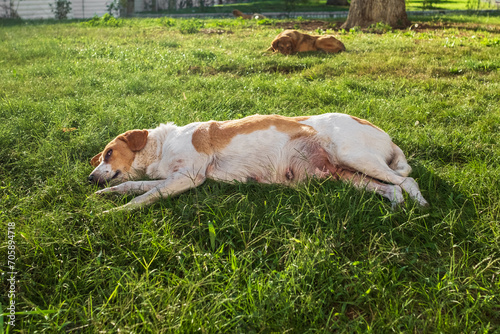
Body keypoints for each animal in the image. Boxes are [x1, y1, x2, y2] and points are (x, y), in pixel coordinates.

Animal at [88, 113, 428, 210]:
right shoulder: (168, 178)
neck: (162, 146)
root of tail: (389, 138)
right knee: (392, 188)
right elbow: (131, 185)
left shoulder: (188, 178)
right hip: (345, 175)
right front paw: (105, 195)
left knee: (408, 180)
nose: (90, 178)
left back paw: (420, 206)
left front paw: (114, 213)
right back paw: (395, 207)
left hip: (355, 156)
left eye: (108, 153)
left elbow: (142, 197)